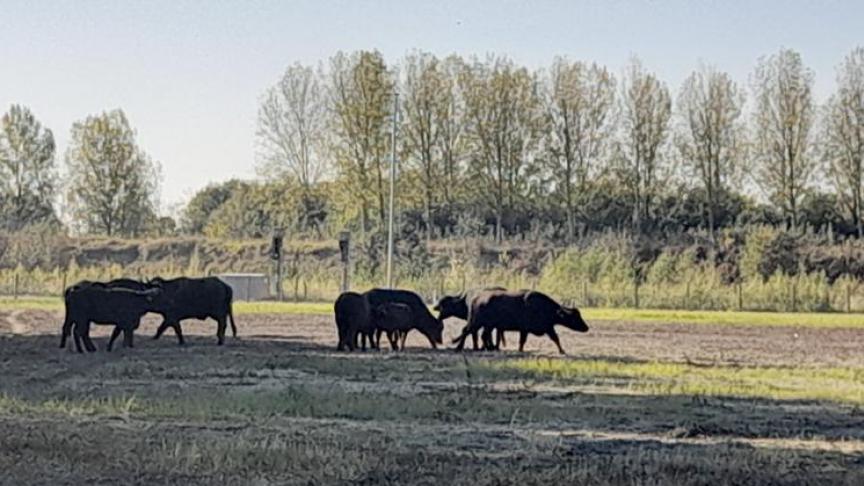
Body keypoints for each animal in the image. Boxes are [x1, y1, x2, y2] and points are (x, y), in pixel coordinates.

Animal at [452, 288, 588, 354]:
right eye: (574, 317)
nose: (586, 328)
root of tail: (477, 299)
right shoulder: (531, 328)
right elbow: (524, 340)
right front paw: (562, 351)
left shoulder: (547, 327)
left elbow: (554, 338)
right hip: (477, 322)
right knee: (467, 331)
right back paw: (459, 347)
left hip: (488, 325)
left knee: (483, 335)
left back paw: (489, 348)